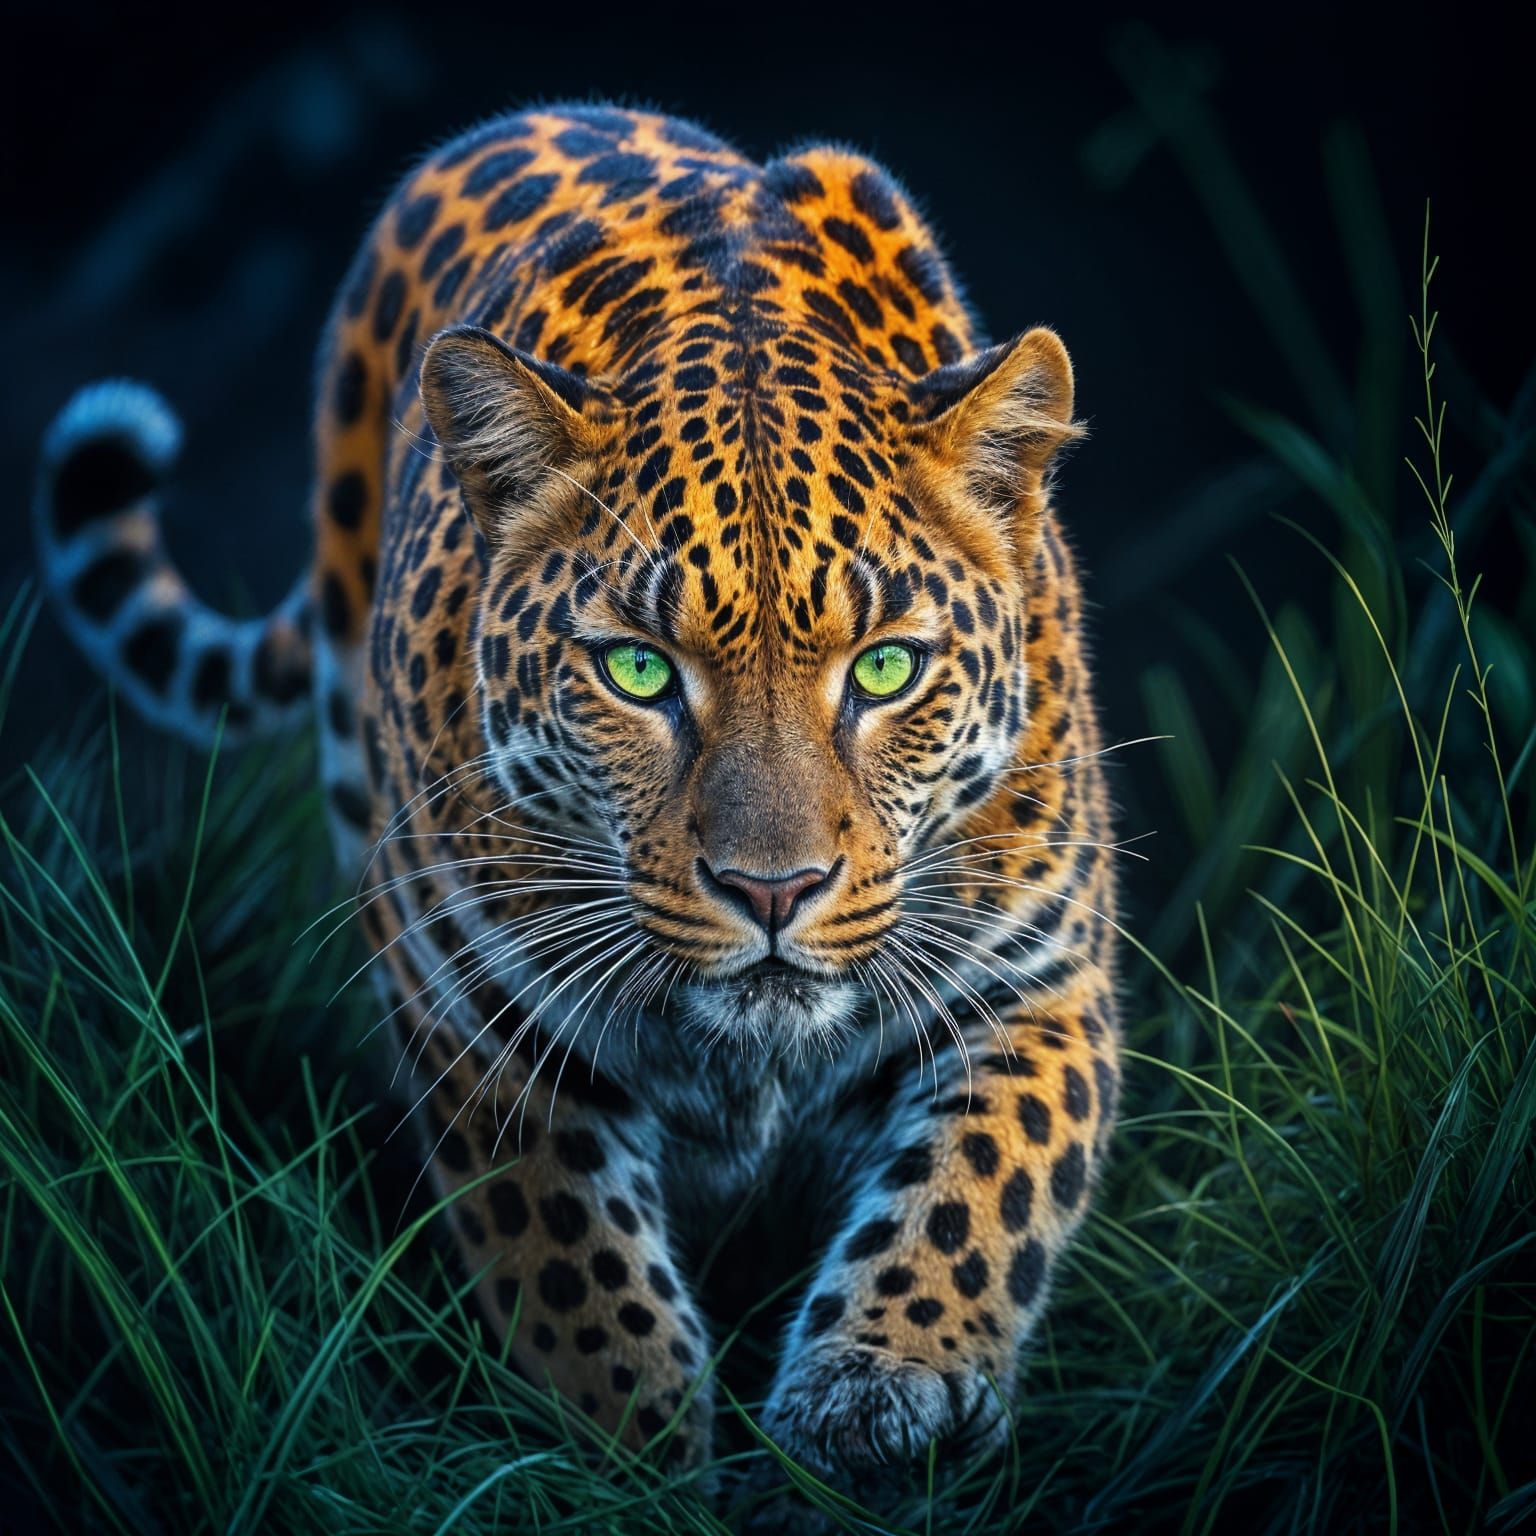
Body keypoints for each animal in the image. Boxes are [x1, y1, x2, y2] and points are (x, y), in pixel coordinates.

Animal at [35, 103, 1121, 1487]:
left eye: (884, 668)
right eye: (638, 670)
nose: (773, 892)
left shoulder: (1031, 981)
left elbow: (980, 1191)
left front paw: (881, 1394)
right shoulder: (478, 1011)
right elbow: (572, 1274)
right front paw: (632, 1456)